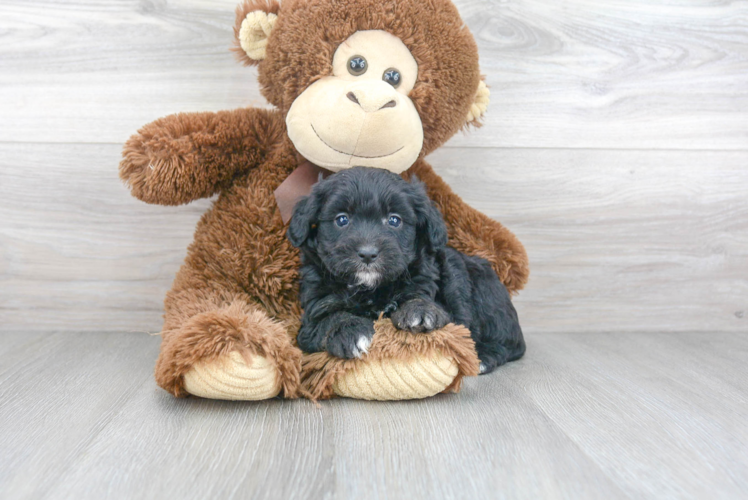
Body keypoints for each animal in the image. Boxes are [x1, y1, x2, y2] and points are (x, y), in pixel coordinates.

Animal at [288, 168, 524, 376]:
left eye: (394, 220)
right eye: (341, 219)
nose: (368, 254)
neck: (370, 289)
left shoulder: (440, 301)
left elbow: (421, 300)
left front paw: (419, 311)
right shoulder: (311, 319)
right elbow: (329, 319)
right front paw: (350, 331)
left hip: (486, 290)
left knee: (507, 343)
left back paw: (483, 357)